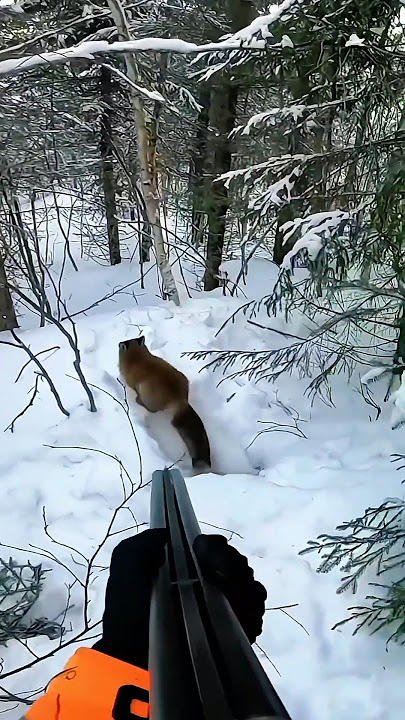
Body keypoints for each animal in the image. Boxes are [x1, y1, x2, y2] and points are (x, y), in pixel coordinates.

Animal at [118, 336, 211, 472]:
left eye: (122, 345)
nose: (119, 343)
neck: (138, 357)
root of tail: (180, 399)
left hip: (146, 392)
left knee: (151, 409)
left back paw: (139, 401)